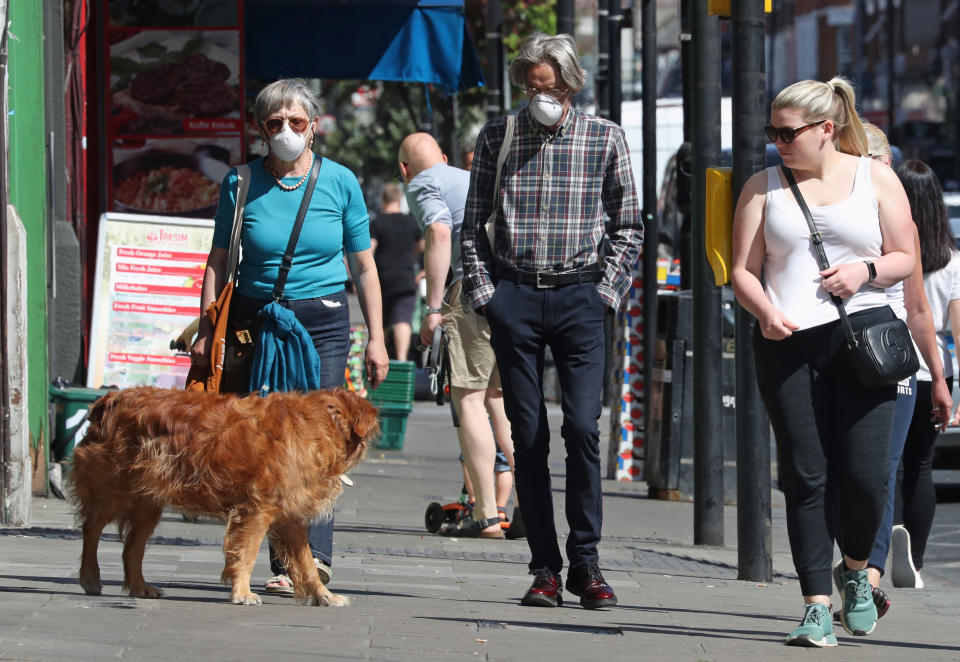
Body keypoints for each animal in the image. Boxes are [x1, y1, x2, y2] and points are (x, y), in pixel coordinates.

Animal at [65, 386, 376, 608]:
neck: (322, 424)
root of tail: (112, 398)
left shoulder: (291, 518)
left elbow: (308, 564)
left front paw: (324, 596)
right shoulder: (257, 509)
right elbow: (246, 553)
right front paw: (242, 592)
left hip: (148, 502)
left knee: (132, 547)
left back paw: (140, 587)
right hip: (111, 491)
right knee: (91, 531)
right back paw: (90, 577)